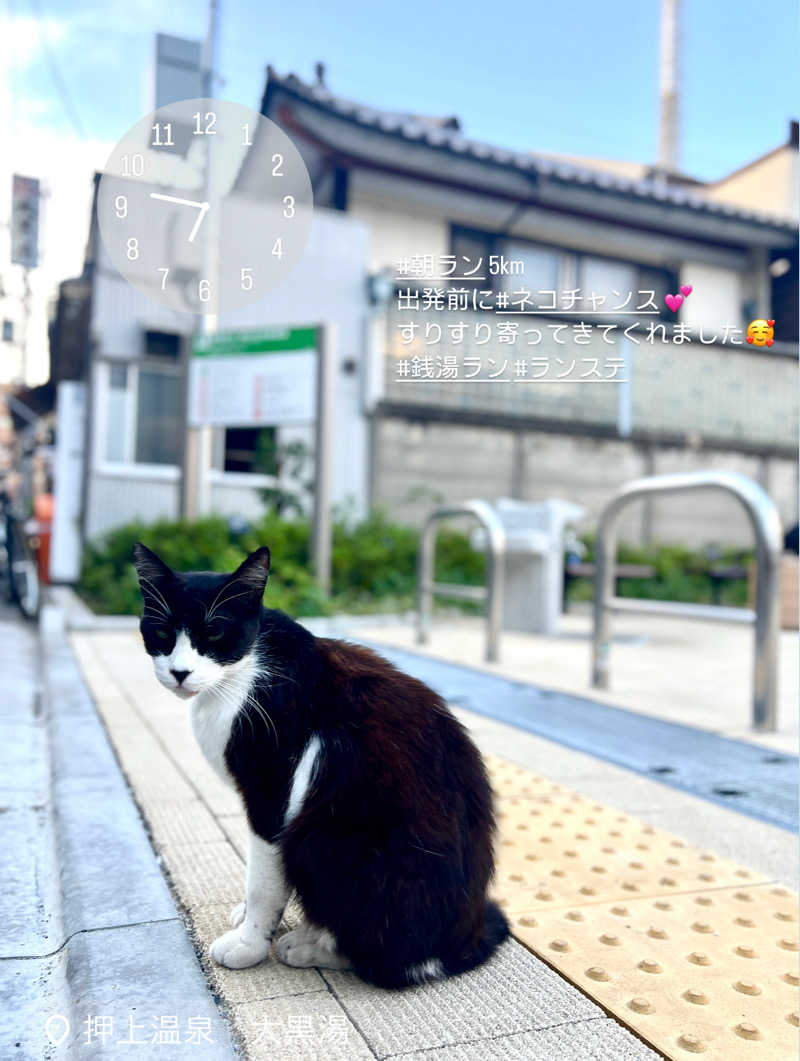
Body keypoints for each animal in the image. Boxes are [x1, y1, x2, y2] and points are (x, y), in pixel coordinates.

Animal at [131, 543, 505, 988]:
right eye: (162, 633)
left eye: (214, 633)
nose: (180, 672)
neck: (244, 672)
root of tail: (465, 941)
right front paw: (247, 920)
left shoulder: (274, 790)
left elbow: (263, 882)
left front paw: (249, 944)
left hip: (322, 835)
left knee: (387, 963)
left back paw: (310, 946)